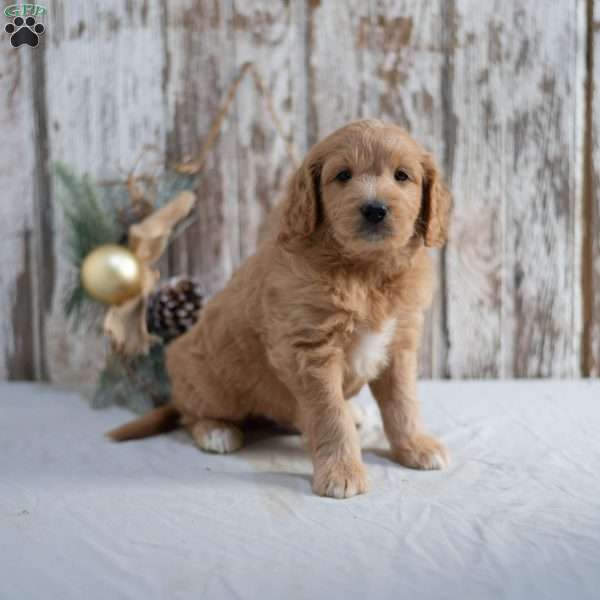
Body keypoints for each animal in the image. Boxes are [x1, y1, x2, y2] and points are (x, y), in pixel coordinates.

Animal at [110, 119, 452, 500]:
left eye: (402, 176)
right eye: (343, 175)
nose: (375, 209)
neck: (365, 272)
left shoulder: (399, 343)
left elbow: (403, 403)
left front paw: (416, 446)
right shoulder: (310, 350)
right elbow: (330, 415)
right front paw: (342, 471)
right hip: (207, 380)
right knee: (189, 413)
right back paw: (216, 431)